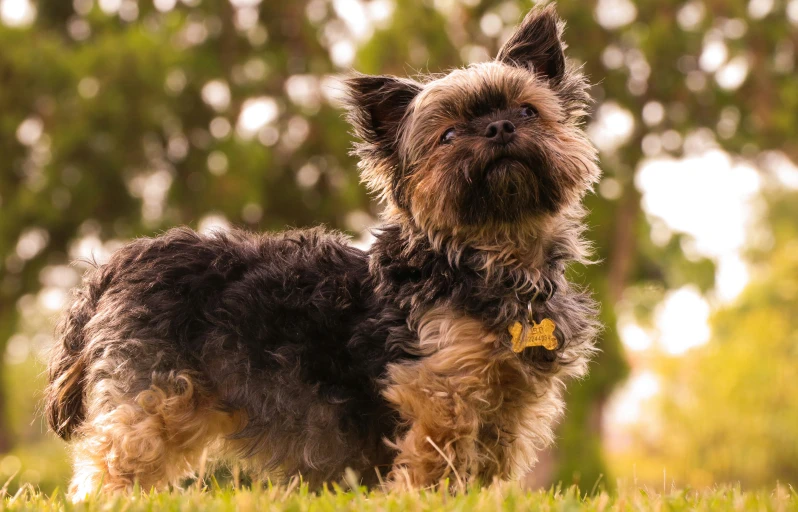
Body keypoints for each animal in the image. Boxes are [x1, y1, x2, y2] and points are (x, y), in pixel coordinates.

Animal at [47, 5, 600, 500]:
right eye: (447, 135)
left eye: (527, 110)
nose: (500, 128)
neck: (490, 259)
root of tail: (120, 262)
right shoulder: (440, 393)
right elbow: (435, 467)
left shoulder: (509, 403)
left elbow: (484, 468)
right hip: (157, 401)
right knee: (110, 468)